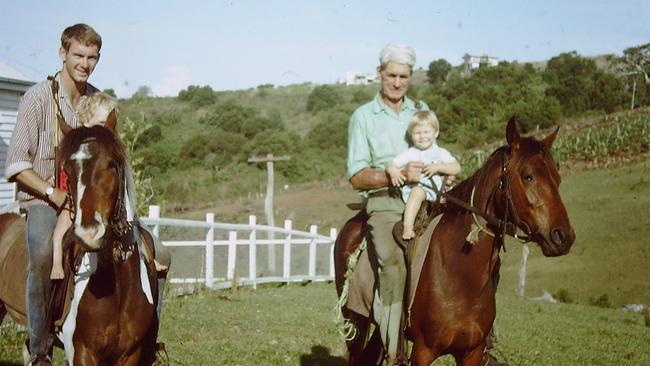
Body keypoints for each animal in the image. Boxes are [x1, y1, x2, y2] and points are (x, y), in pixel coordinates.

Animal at [0, 124, 160, 364]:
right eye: (67, 170)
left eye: (111, 163)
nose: (88, 234)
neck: (117, 288)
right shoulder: (82, 352)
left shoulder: (130, 354)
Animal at [334, 118, 572, 364]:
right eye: (528, 176)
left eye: (558, 178)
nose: (563, 236)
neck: (459, 273)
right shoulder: (423, 351)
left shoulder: (472, 352)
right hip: (354, 319)